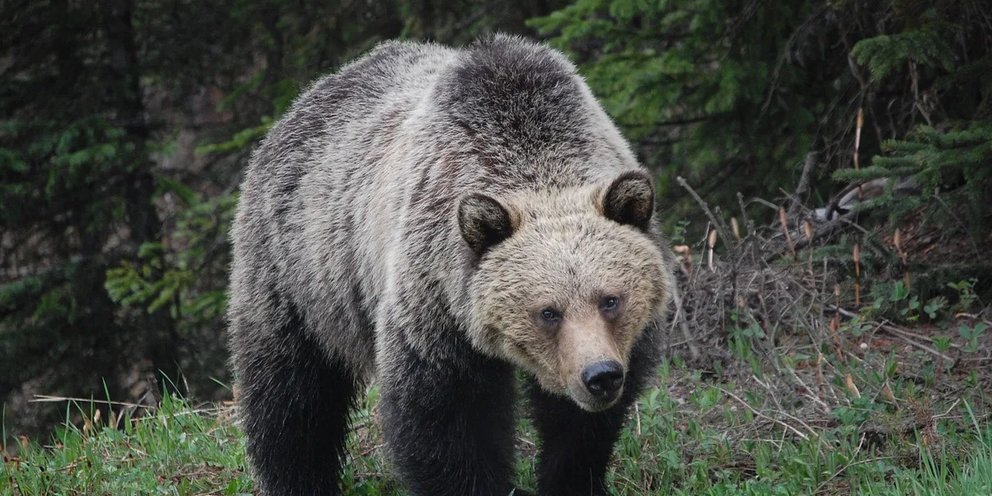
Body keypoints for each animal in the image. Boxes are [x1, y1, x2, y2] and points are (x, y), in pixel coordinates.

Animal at [227, 35, 676, 496]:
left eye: (611, 300)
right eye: (548, 312)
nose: (599, 375)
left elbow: (579, 430)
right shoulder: (435, 300)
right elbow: (446, 420)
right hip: (301, 269)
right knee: (292, 394)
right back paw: (297, 476)